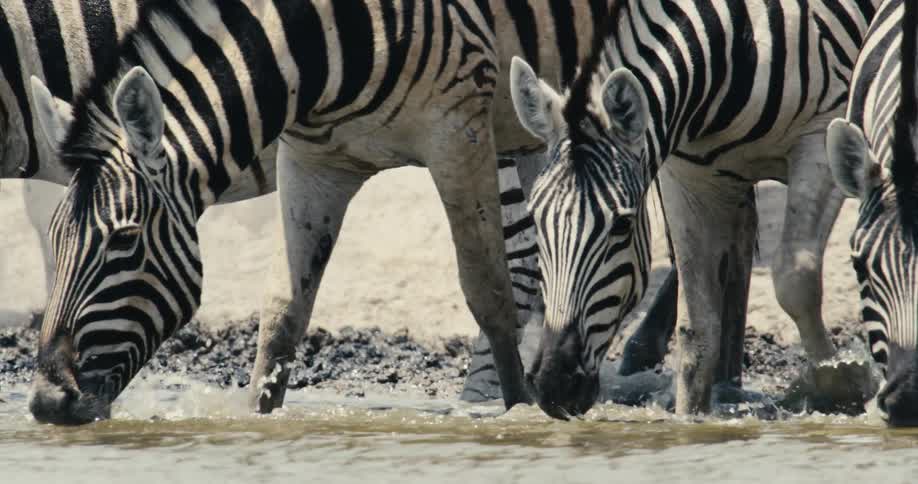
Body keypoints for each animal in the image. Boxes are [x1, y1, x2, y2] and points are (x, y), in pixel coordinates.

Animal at [25, 0, 682, 424]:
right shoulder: (313, 160)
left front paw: (519, 412)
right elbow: (283, 317)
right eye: (53, 240)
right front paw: (257, 419)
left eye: (125, 241)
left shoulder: (458, 130)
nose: (46, 404)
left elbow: (488, 291)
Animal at [508, 0, 878, 418]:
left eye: (621, 225)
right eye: (535, 220)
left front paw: (842, 382)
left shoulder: (822, 139)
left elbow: (794, 278)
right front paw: (691, 418)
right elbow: (697, 326)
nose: (552, 385)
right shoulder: (686, 174)